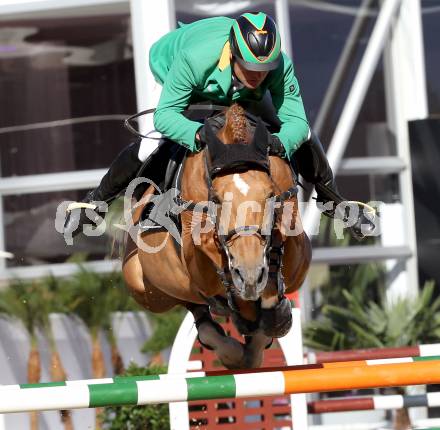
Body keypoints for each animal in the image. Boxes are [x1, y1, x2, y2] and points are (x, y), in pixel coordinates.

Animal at [122, 104, 312, 370]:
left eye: (269, 194)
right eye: (217, 199)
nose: (249, 272)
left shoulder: (298, 255)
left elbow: (279, 248)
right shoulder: (197, 261)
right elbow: (214, 261)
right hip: (146, 291)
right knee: (199, 312)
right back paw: (230, 349)